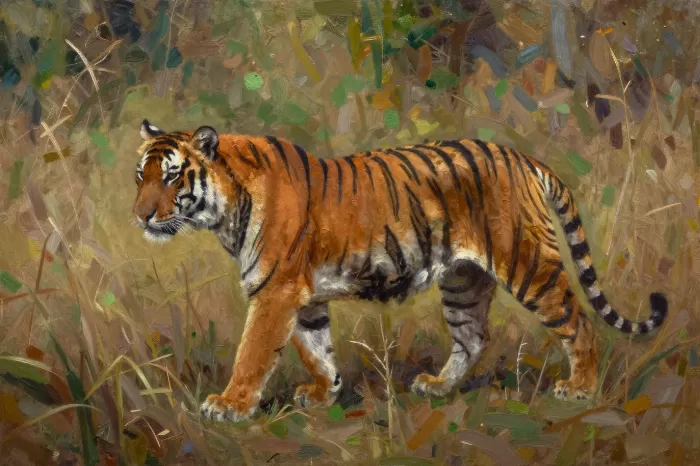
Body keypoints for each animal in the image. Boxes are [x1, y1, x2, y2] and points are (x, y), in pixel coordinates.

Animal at [132, 119, 668, 422]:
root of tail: (525, 158)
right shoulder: (302, 295)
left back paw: (579, 389)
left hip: (530, 265)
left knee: (580, 324)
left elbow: (253, 353)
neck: (224, 211)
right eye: (141, 175)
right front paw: (325, 393)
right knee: (473, 337)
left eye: (173, 176)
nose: (140, 215)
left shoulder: (275, 292)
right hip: (463, 281)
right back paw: (438, 387)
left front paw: (229, 405)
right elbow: (316, 349)